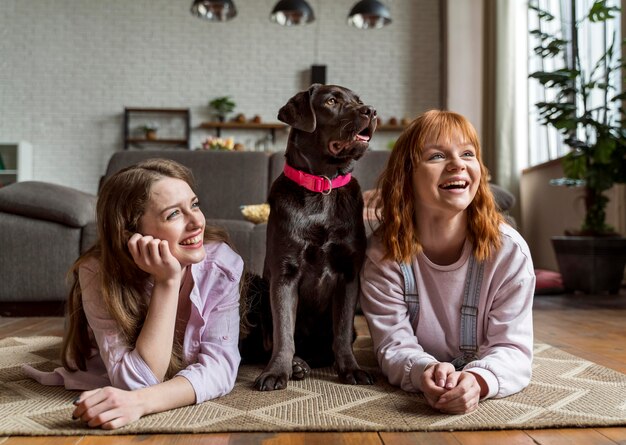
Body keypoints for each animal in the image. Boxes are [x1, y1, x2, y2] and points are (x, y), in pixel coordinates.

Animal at [254, 85, 376, 390]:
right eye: (331, 101)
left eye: (358, 100)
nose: (371, 110)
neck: (323, 186)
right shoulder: (284, 274)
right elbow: (284, 332)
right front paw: (277, 372)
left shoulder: (348, 274)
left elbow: (342, 331)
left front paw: (351, 370)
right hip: (261, 289)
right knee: (271, 341)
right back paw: (297, 365)